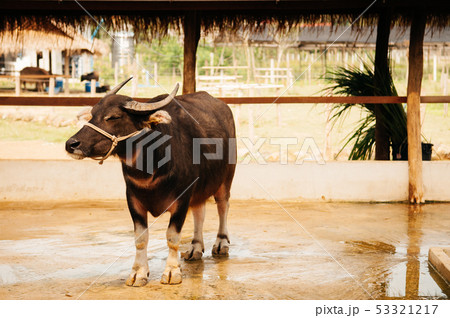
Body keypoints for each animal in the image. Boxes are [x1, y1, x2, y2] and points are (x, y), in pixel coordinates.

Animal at [66, 77, 239, 286]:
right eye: (92, 115)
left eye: (113, 117)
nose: (71, 144)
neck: (151, 166)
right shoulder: (133, 200)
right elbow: (140, 238)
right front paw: (138, 272)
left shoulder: (182, 199)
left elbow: (172, 236)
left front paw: (172, 271)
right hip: (200, 188)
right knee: (199, 212)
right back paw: (195, 247)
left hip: (226, 177)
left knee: (223, 206)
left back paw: (221, 243)